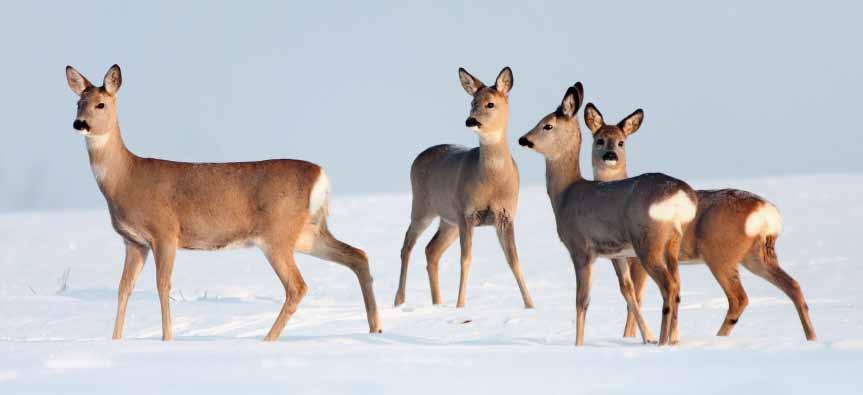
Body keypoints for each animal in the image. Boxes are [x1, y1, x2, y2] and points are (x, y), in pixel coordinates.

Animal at [64, 65, 382, 344]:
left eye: (101, 104)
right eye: (78, 103)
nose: (80, 124)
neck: (126, 178)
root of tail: (320, 175)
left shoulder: (165, 231)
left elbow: (162, 285)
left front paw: (167, 339)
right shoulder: (134, 242)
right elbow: (123, 289)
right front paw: (115, 341)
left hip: (277, 234)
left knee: (298, 286)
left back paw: (266, 339)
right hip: (307, 232)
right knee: (358, 255)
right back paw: (375, 328)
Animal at [394, 67, 532, 310]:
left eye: (490, 104)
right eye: (472, 102)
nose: (471, 120)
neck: (492, 182)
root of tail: (417, 157)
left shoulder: (505, 215)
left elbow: (514, 260)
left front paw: (530, 305)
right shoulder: (467, 213)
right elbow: (466, 259)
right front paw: (460, 305)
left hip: (448, 220)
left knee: (431, 250)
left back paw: (437, 303)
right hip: (422, 207)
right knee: (407, 245)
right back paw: (399, 300)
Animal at [516, 83, 700, 346]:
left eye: (547, 124)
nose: (523, 139)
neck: (565, 195)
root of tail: (681, 194)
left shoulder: (581, 248)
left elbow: (581, 301)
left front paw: (578, 344)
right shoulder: (618, 253)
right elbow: (628, 291)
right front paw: (646, 337)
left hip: (648, 241)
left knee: (669, 286)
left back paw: (664, 341)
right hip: (673, 241)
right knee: (676, 286)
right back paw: (671, 340)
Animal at [592, 106, 820, 342]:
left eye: (621, 142)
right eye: (599, 140)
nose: (610, 156)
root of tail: (767, 213)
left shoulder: (637, 258)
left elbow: (635, 298)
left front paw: (632, 338)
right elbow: (629, 295)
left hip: (720, 253)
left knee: (739, 298)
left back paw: (717, 337)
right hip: (756, 255)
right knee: (793, 285)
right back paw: (811, 337)